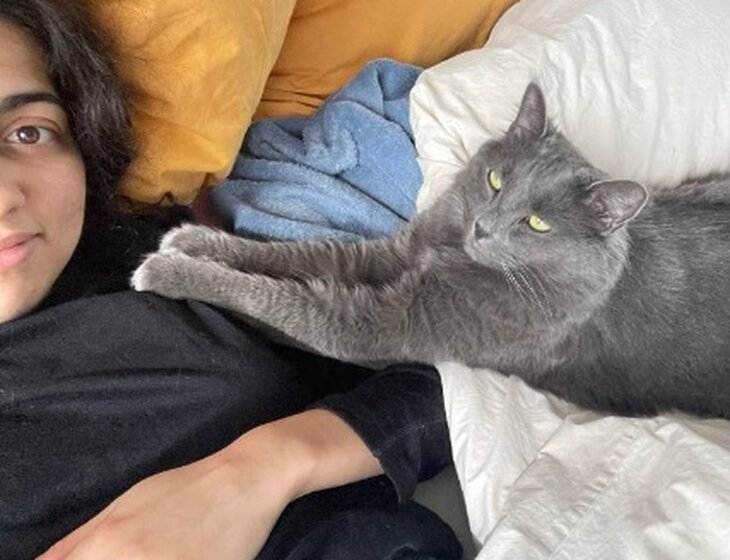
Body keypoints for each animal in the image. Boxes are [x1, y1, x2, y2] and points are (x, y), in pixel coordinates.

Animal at [132, 83, 730, 419]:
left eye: (536, 223)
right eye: (495, 179)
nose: (483, 228)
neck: (453, 252)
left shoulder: (381, 326)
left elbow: (279, 301)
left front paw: (168, 271)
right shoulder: (389, 255)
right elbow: (295, 257)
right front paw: (193, 241)